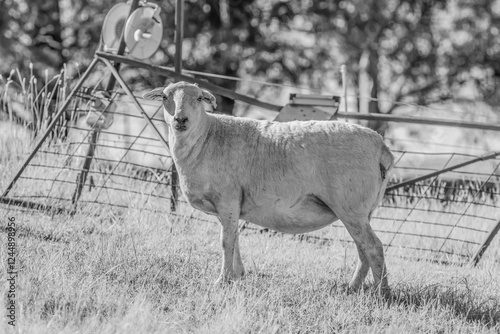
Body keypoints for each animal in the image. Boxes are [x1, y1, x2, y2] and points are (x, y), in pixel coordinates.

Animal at [144, 81, 394, 294]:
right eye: (165, 97)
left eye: (198, 98)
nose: (180, 119)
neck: (206, 138)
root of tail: (381, 146)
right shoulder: (231, 206)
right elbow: (234, 237)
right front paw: (238, 275)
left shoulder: (227, 198)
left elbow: (226, 241)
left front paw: (222, 280)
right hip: (361, 211)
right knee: (363, 249)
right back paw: (352, 288)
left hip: (350, 206)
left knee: (374, 247)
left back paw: (382, 293)